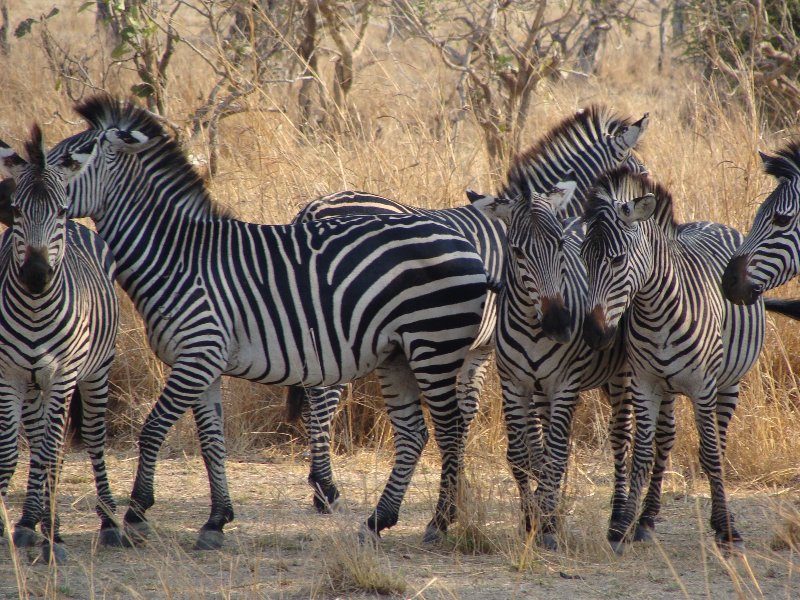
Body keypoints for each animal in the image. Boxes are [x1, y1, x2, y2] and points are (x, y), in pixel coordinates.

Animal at [0, 125, 124, 564]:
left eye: (59, 210)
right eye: (17, 211)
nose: (36, 276)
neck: (37, 309)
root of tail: (82, 227)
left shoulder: (62, 375)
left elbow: (55, 451)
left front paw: (54, 538)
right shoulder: (10, 375)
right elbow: (11, 449)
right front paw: (24, 525)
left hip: (96, 372)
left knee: (91, 438)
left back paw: (108, 522)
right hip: (36, 384)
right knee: (37, 442)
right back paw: (27, 522)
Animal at [288, 103, 648, 510]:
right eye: (640, 176)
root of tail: (313, 208)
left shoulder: (477, 346)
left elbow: (464, 416)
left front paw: (460, 489)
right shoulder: (496, 346)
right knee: (323, 398)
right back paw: (326, 488)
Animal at [580, 166, 764, 552]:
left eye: (617, 260)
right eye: (584, 260)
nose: (594, 335)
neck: (655, 311)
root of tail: (709, 222)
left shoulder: (702, 386)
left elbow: (709, 452)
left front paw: (726, 530)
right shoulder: (644, 383)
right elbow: (642, 452)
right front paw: (623, 526)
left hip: (728, 382)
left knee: (717, 444)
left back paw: (724, 521)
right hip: (666, 387)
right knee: (665, 439)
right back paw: (646, 519)